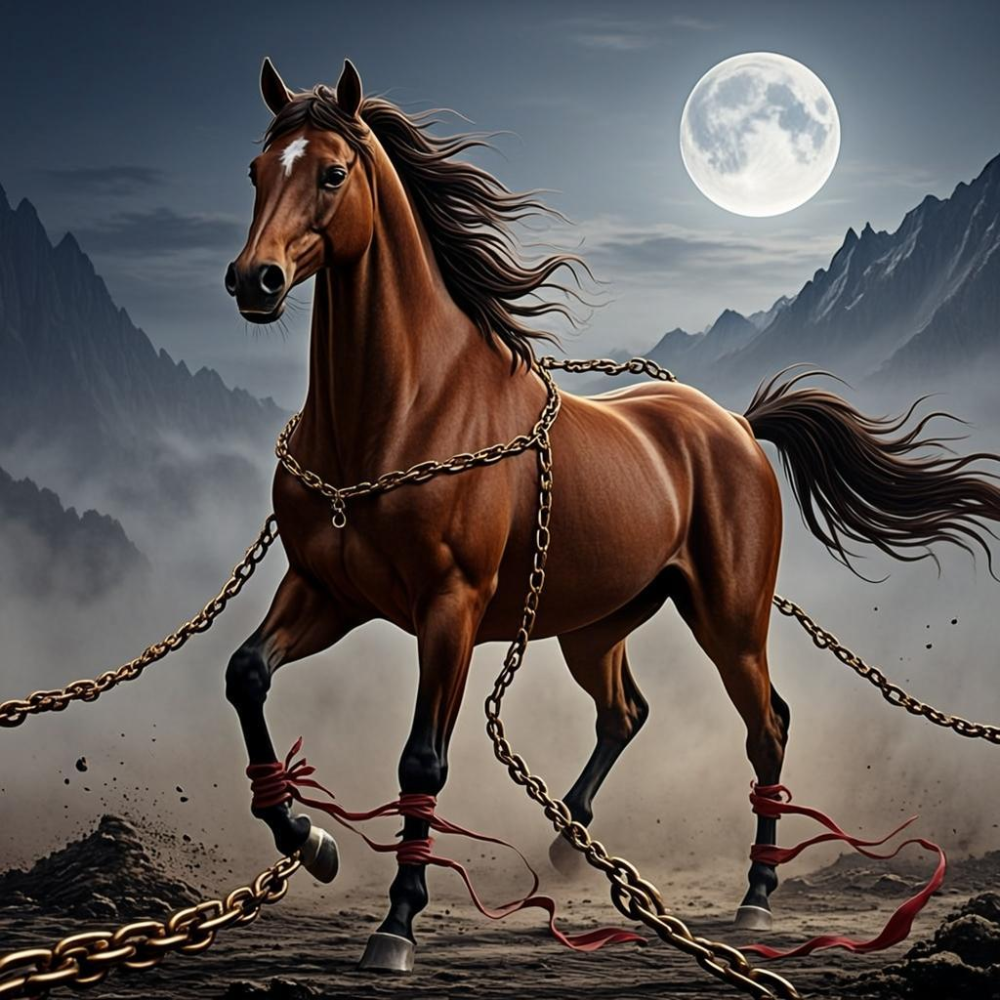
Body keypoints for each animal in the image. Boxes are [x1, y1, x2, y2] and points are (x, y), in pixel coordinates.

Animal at [222, 58, 1000, 972]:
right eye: (254, 171)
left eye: (333, 172)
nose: (254, 281)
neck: (402, 413)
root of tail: (737, 426)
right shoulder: (326, 590)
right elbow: (246, 675)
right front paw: (309, 839)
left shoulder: (448, 610)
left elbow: (422, 762)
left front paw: (397, 924)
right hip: (593, 628)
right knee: (626, 712)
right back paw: (570, 842)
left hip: (729, 620)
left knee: (766, 727)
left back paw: (756, 897)